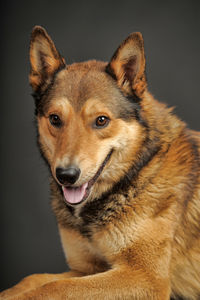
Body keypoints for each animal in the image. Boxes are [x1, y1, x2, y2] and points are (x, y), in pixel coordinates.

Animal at [0, 26, 199, 300]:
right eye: (55, 119)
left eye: (101, 120)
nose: (66, 175)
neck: (136, 173)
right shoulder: (87, 269)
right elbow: (34, 279)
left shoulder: (146, 278)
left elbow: (56, 287)